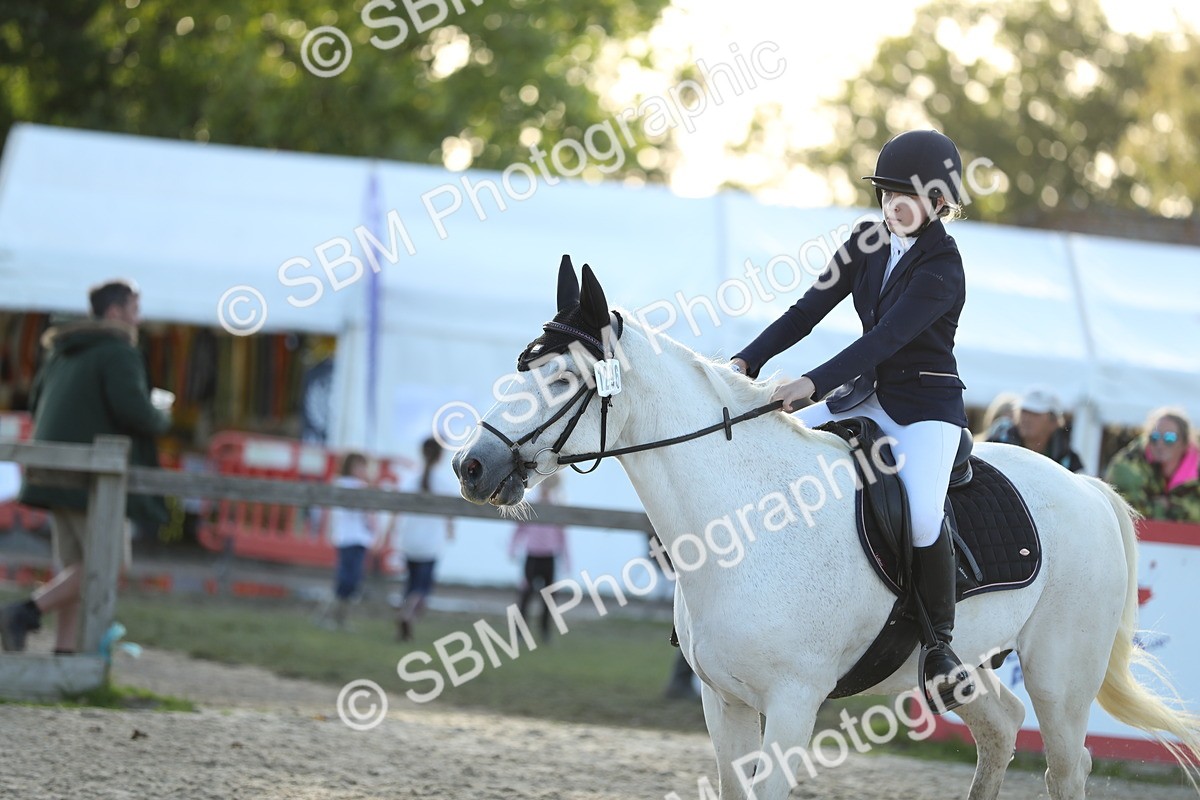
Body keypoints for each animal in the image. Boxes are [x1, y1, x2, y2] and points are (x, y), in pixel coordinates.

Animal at [452, 258, 1200, 799]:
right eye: (522, 367)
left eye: (561, 380)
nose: (471, 465)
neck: (742, 522)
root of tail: (1086, 487)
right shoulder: (723, 702)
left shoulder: (791, 704)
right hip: (966, 667)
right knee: (1001, 732)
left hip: (1059, 675)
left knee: (1066, 766)